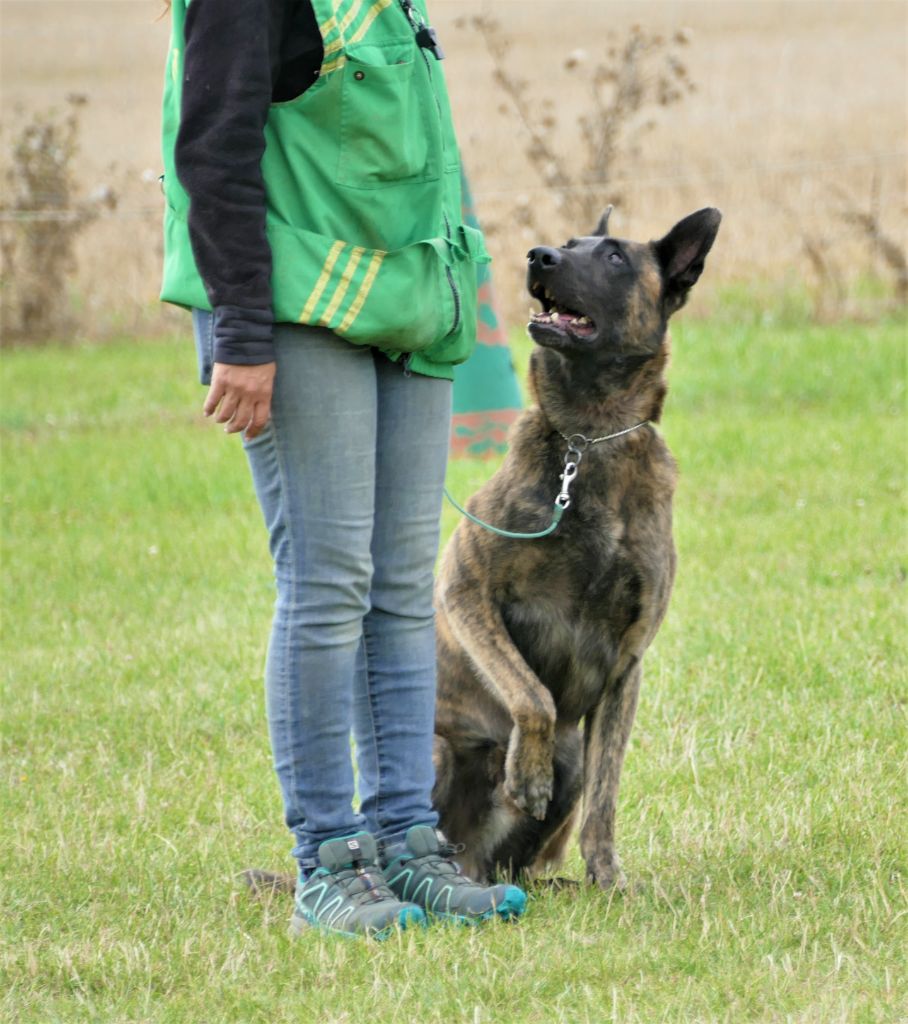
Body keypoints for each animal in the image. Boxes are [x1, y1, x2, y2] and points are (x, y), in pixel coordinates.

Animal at [434, 201, 724, 888]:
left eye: (614, 256)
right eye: (566, 244)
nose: (538, 255)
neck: (589, 439)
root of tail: (470, 863)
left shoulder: (626, 665)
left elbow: (606, 791)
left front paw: (608, 878)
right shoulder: (465, 588)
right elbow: (531, 693)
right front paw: (527, 774)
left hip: (562, 775)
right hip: (434, 747)